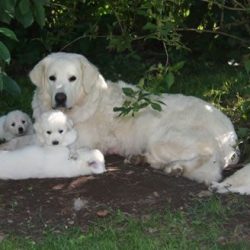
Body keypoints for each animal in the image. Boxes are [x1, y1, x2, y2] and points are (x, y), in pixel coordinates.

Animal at [27, 52, 238, 184]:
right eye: (52, 78)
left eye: (73, 78)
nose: (60, 98)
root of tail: (231, 136)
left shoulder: (81, 140)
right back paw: (141, 159)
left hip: (165, 138)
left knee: (209, 160)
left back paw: (176, 168)